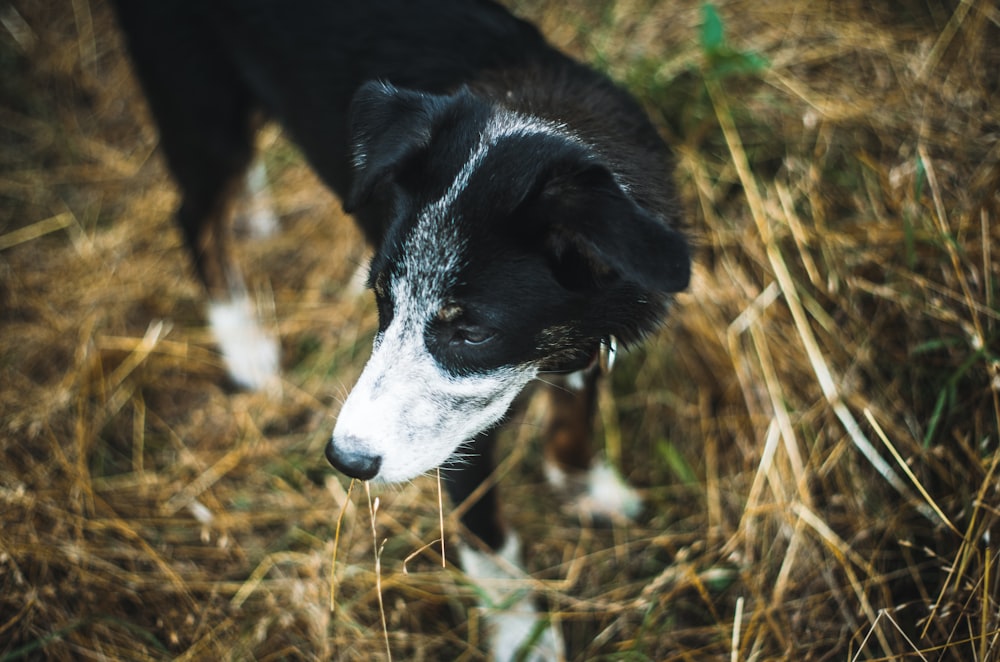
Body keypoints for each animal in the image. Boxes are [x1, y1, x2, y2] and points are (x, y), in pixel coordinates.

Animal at [109, 0, 688, 660]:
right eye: (382, 299)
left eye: (473, 333)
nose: (346, 460)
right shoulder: (464, 442)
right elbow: (490, 545)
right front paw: (523, 637)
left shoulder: (587, 337)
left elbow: (575, 415)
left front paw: (586, 485)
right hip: (197, 100)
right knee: (194, 216)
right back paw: (246, 345)